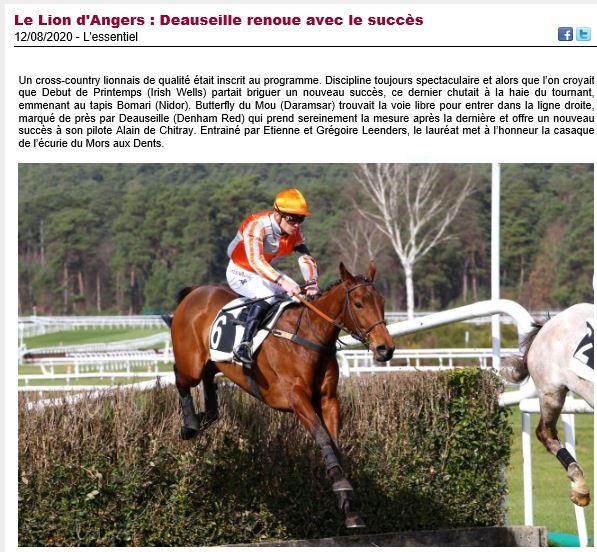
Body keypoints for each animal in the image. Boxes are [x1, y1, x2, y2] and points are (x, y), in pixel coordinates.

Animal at [165, 261, 395, 529]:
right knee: (180, 377)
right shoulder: (296, 398)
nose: (386, 349)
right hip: (191, 364)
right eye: (358, 303)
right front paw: (341, 487)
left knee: (209, 383)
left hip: (213, 362)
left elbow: (335, 444)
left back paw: (204, 416)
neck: (309, 335)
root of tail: (195, 292)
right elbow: (323, 438)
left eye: (382, 302)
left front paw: (348, 504)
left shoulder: (328, 399)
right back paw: (190, 425)